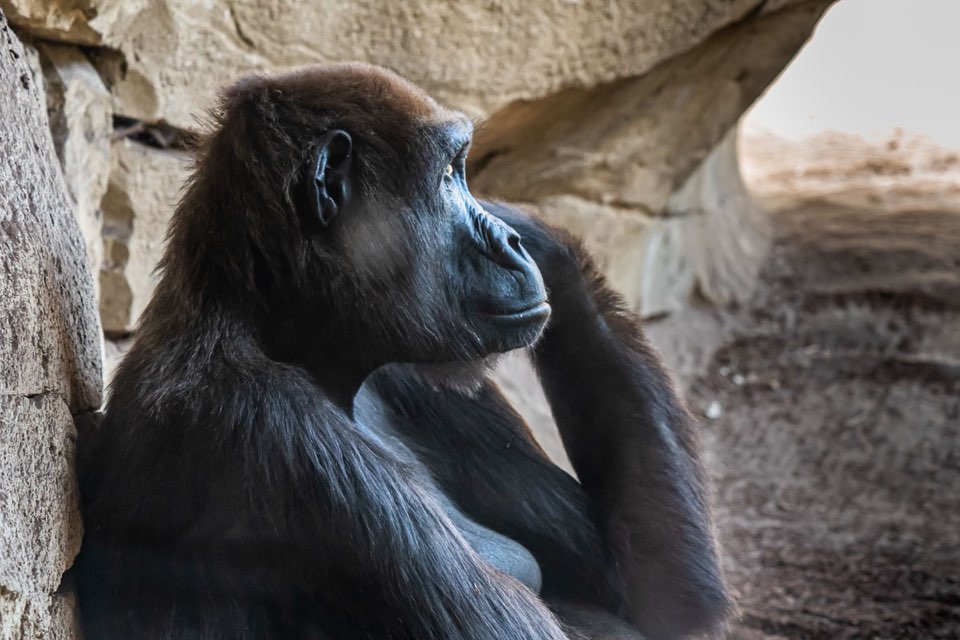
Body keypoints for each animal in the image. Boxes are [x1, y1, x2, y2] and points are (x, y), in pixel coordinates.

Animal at [74, 63, 730, 640]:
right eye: (445, 176)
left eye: (463, 174)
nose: (510, 242)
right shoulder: (269, 425)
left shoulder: (412, 373)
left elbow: (650, 592)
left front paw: (534, 230)